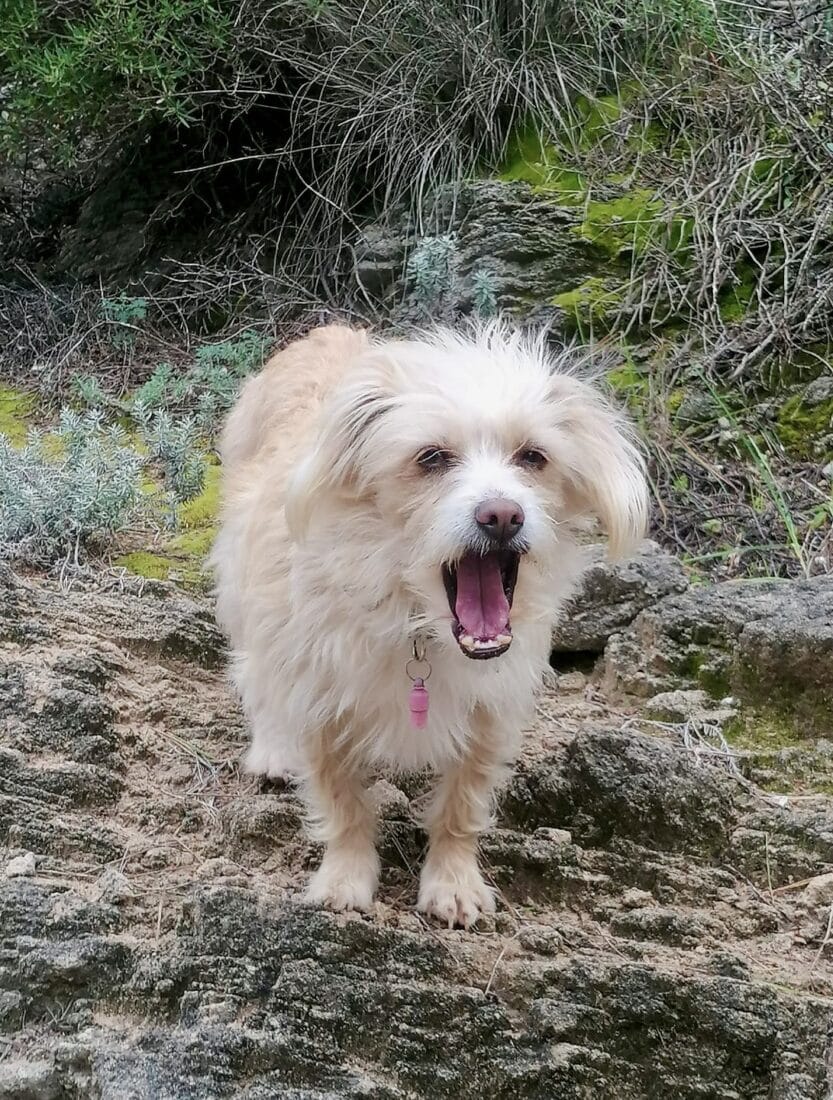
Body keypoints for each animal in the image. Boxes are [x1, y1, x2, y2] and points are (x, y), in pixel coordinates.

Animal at [209, 321, 651, 928]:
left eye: (533, 456)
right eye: (432, 458)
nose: (502, 515)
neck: (417, 622)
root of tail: (328, 329)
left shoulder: (492, 709)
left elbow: (462, 804)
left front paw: (453, 881)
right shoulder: (321, 697)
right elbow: (342, 802)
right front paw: (345, 877)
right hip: (245, 587)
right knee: (255, 671)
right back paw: (274, 748)